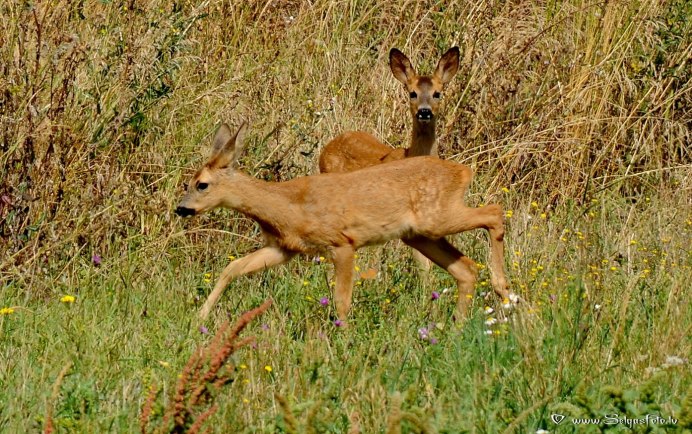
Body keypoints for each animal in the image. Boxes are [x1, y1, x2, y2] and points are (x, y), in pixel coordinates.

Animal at [174, 122, 508, 322]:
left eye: (202, 184)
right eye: (188, 182)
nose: (181, 209)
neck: (287, 205)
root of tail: (463, 171)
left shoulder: (342, 243)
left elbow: (341, 300)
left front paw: (343, 337)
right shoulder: (285, 248)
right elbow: (232, 268)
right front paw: (201, 316)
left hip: (435, 218)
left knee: (495, 212)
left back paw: (502, 290)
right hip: (419, 235)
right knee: (466, 268)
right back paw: (460, 323)